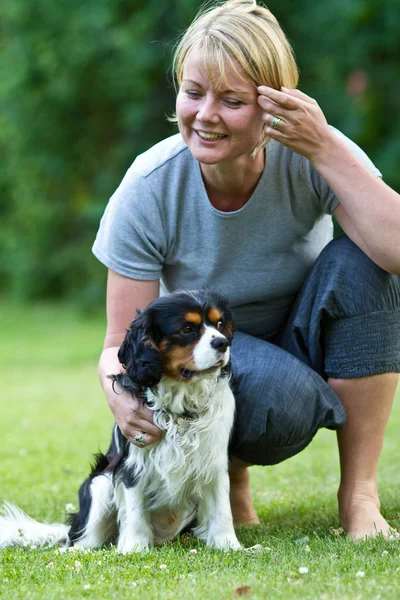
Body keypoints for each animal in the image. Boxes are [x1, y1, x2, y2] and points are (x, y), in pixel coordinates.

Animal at [0, 290, 241, 552]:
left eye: (220, 324)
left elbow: (222, 509)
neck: (181, 398)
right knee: (79, 543)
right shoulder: (132, 462)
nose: (223, 343)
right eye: (187, 328)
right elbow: (134, 509)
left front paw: (230, 546)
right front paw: (134, 549)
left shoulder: (213, 461)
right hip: (101, 483)